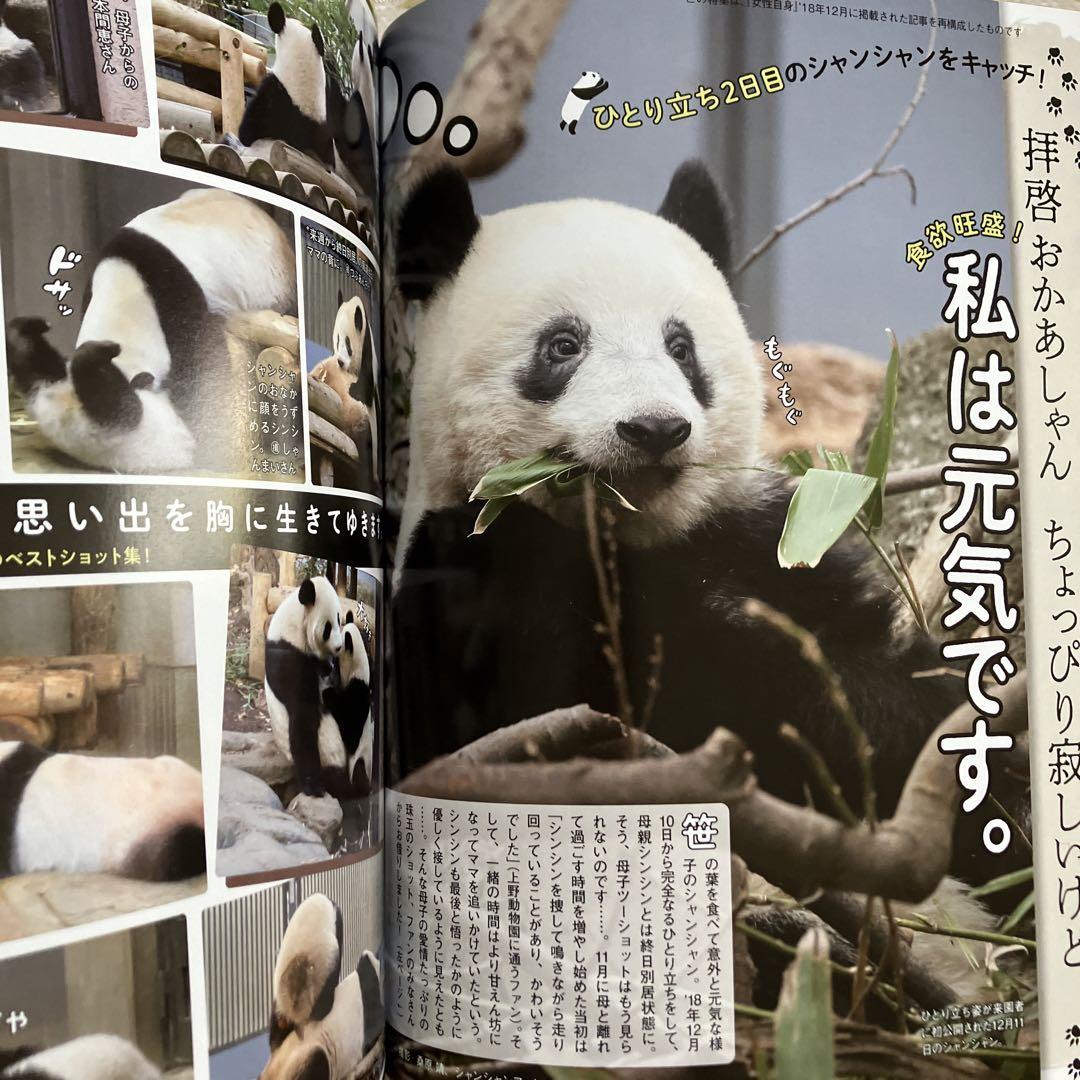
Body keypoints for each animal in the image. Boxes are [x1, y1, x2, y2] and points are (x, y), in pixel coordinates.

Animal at [265, 575, 348, 798]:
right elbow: (303, 715)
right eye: (328, 627)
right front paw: (314, 787)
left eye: (340, 619)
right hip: (329, 750)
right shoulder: (289, 659)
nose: (339, 647)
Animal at [391, 160, 1033, 1001]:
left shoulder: (765, 544)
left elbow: (881, 703)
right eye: (563, 345)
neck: (626, 531)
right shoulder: (469, 584)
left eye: (680, 346)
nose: (653, 429)